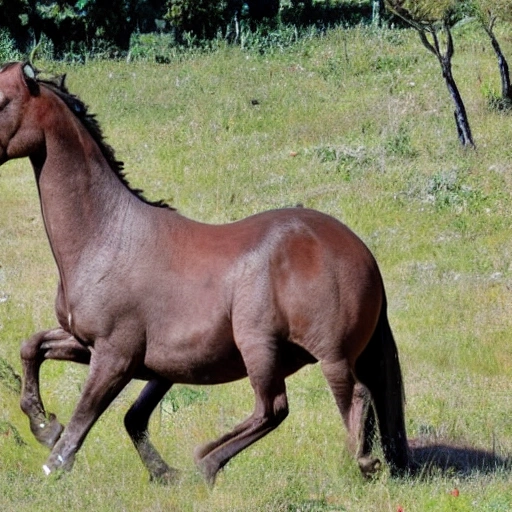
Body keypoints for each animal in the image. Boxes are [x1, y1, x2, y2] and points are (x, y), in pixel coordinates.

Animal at [0, 61, 408, 484]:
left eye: (2, 101)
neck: (107, 235)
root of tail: (363, 254)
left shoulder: (115, 355)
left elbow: (84, 420)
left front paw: (52, 464)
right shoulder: (100, 347)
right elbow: (35, 349)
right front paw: (44, 425)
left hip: (285, 349)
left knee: (301, 404)